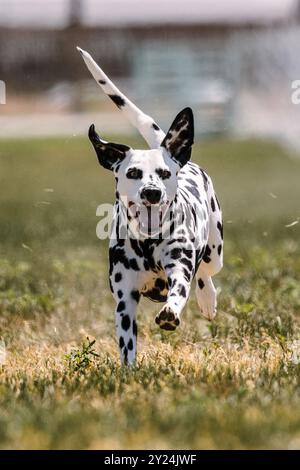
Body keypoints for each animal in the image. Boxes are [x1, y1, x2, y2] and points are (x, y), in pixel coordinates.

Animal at [77, 47, 223, 366]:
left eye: (164, 173)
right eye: (133, 173)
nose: (152, 192)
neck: (147, 243)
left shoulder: (179, 268)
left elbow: (178, 291)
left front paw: (170, 312)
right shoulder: (125, 300)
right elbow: (127, 345)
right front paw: (129, 371)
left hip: (214, 251)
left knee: (205, 274)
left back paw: (207, 301)